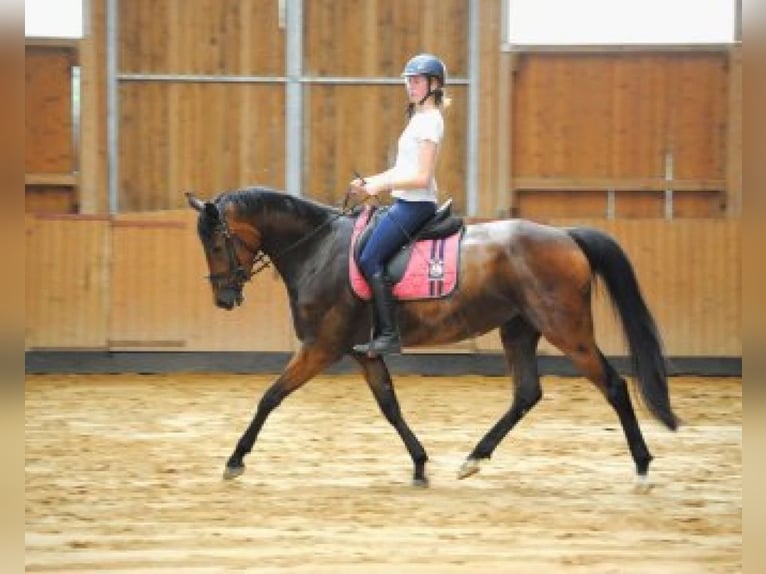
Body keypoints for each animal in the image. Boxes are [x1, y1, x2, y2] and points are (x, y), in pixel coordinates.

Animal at [186, 187, 680, 488]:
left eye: (217, 243)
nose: (223, 298)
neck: (318, 249)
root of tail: (565, 235)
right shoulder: (363, 353)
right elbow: (390, 406)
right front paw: (420, 464)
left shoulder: (320, 348)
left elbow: (270, 397)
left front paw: (235, 460)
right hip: (519, 329)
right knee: (526, 393)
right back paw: (475, 458)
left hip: (567, 329)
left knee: (613, 386)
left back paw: (642, 466)